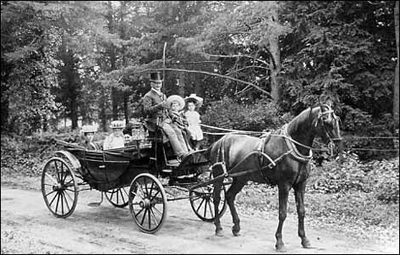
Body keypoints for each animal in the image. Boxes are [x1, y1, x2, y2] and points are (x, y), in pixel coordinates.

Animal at [205, 101, 342, 251]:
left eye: (337, 119)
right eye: (325, 120)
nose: (337, 145)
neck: (292, 147)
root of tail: (218, 141)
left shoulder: (301, 185)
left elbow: (301, 211)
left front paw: (304, 239)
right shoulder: (284, 185)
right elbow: (282, 213)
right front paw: (280, 242)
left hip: (241, 178)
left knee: (229, 196)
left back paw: (236, 227)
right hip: (219, 174)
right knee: (216, 198)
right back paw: (218, 227)